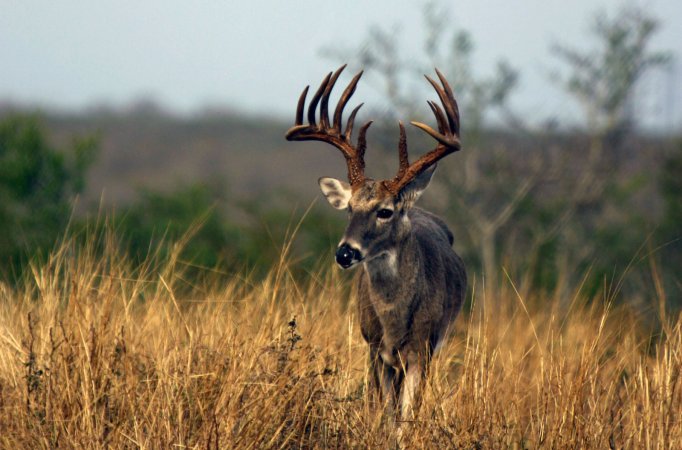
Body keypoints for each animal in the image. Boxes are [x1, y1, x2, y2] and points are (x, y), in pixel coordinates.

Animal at [284, 65, 464, 420]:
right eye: (350, 208)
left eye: (385, 211)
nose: (345, 253)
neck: (395, 321)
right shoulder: (374, 347)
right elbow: (383, 411)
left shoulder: (422, 348)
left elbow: (406, 416)